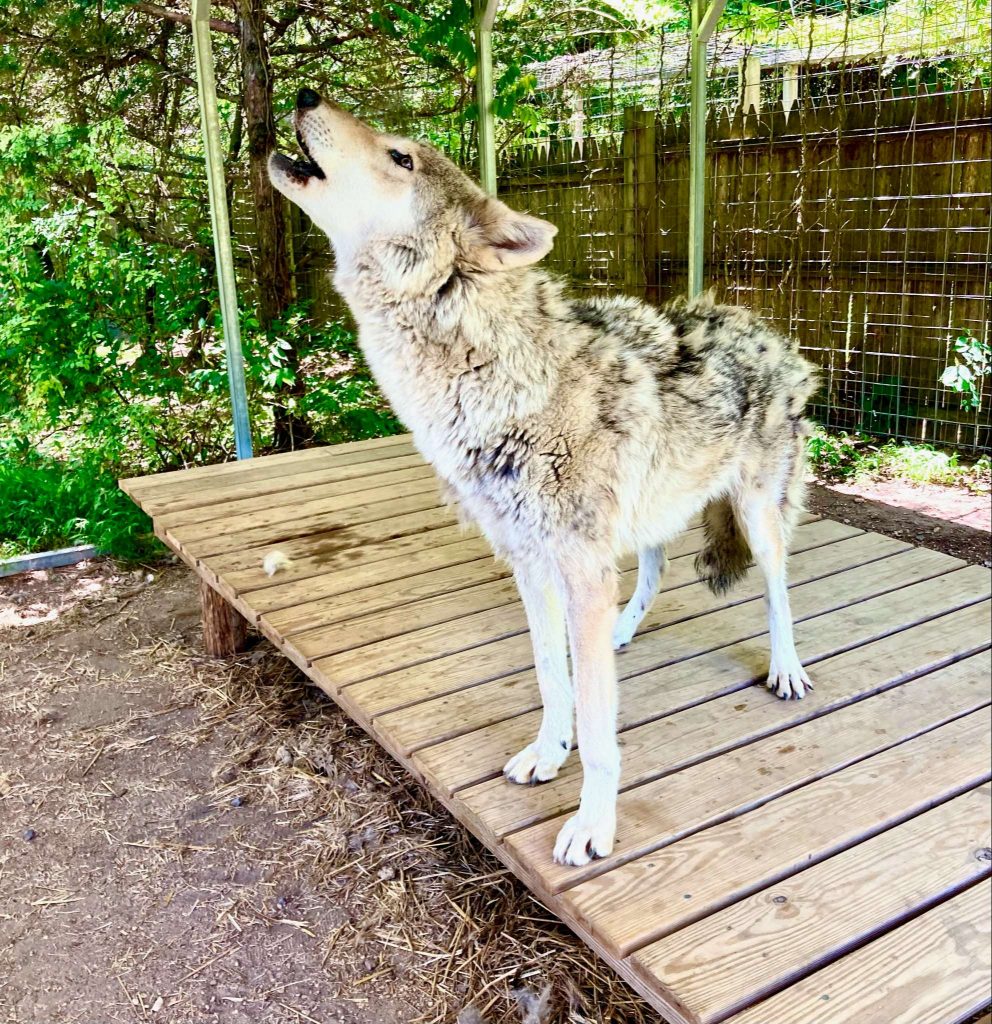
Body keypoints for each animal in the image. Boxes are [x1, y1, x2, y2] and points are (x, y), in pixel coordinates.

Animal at [266, 92, 814, 868]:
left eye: (402, 155)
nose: (307, 96)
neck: (498, 380)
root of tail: (761, 324)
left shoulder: (579, 567)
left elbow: (598, 720)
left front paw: (592, 823)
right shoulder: (532, 563)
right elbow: (555, 679)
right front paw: (548, 753)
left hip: (758, 514)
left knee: (777, 590)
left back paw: (786, 669)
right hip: (645, 515)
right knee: (656, 565)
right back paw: (622, 632)